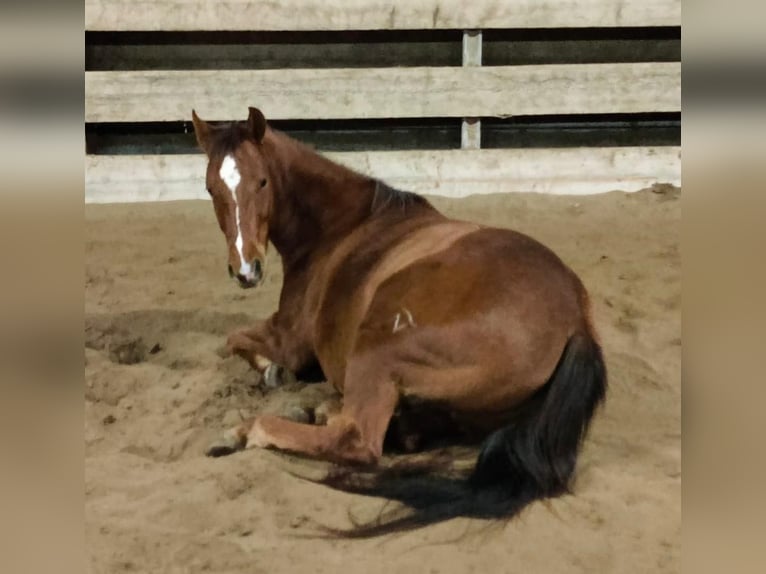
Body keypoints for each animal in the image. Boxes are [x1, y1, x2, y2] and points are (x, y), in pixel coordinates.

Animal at [193, 107, 607, 536]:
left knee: (355, 439)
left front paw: (273, 373)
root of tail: (576, 323)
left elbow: (234, 340)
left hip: (379, 347)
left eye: (262, 181)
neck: (342, 227)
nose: (246, 270)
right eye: (210, 189)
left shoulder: (287, 339)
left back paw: (249, 430)